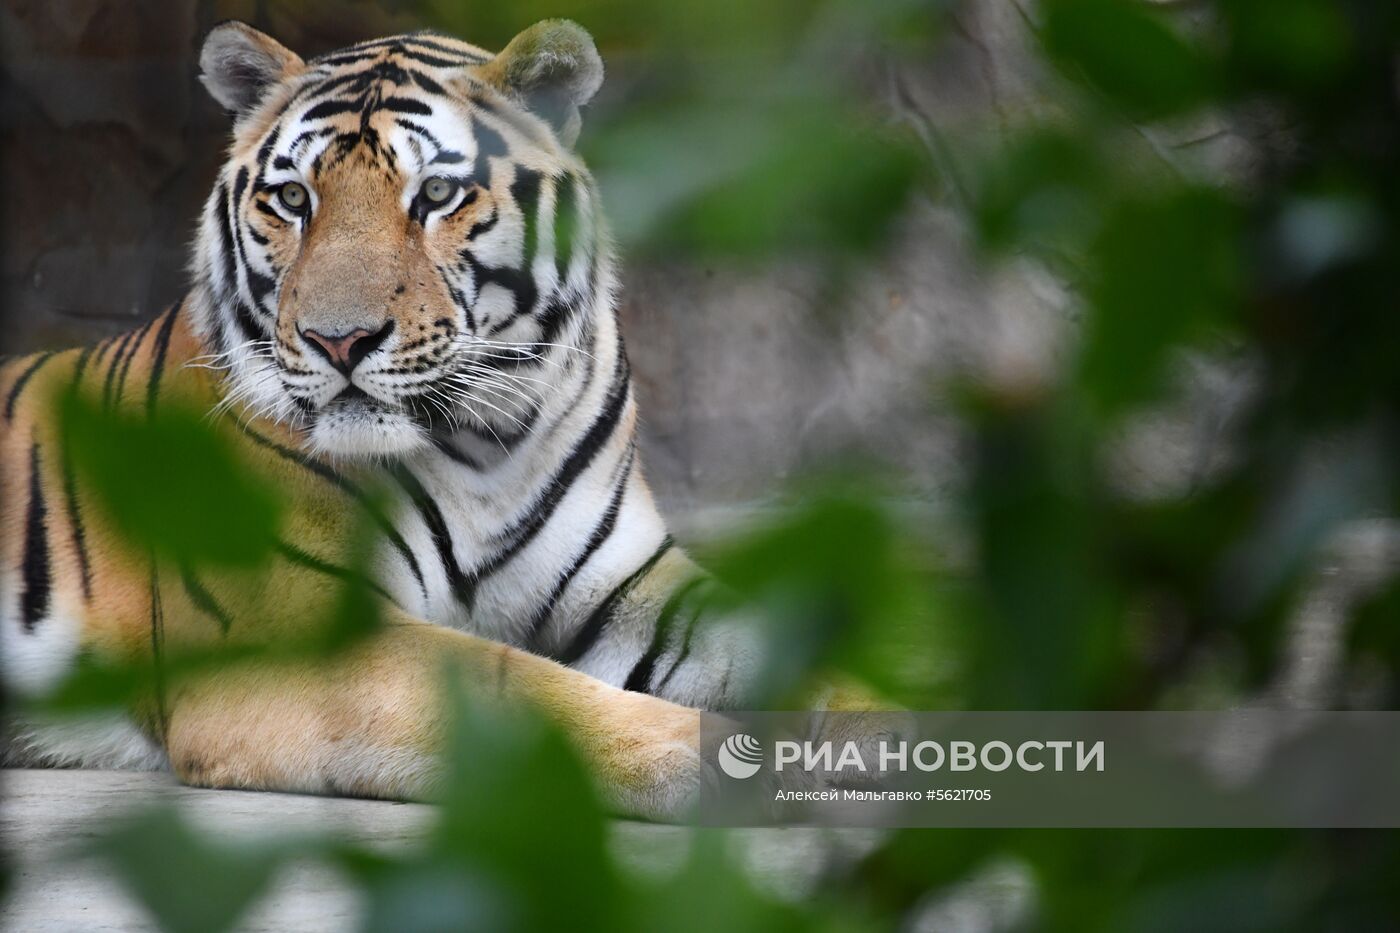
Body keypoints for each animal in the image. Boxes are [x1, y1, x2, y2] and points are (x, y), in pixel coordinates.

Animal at [0, 18, 795, 818]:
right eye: (293, 198)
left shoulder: (632, 588)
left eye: (436, 193)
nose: (338, 340)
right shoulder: (290, 633)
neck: (489, 444)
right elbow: (518, 686)